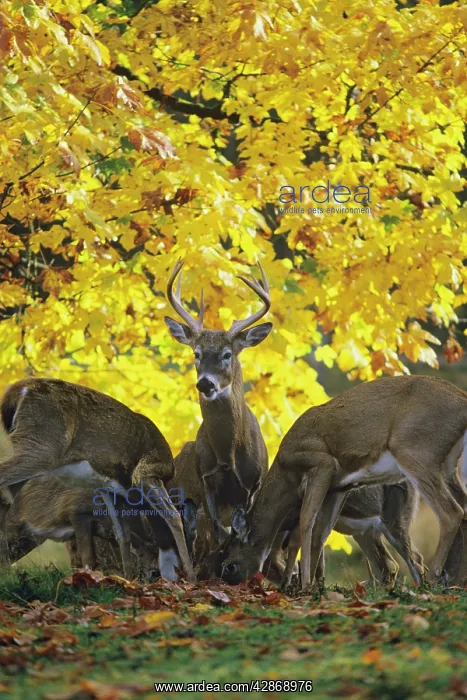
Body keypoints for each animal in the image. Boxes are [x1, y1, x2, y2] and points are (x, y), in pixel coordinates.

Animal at [0, 377, 194, 582]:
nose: (154, 574)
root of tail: (20, 389)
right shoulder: (146, 471)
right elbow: (173, 516)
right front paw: (191, 577)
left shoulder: (109, 489)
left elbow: (121, 534)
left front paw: (127, 579)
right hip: (42, 447)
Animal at [217, 375, 467, 590]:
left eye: (230, 565)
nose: (227, 581)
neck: (286, 473)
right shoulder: (339, 487)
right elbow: (320, 533)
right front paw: (312, 585)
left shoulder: (322, 463)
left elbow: (305, 524)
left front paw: (304, 584)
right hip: (448, 467)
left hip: (415, 451)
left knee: (451, 513)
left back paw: (433, 580)